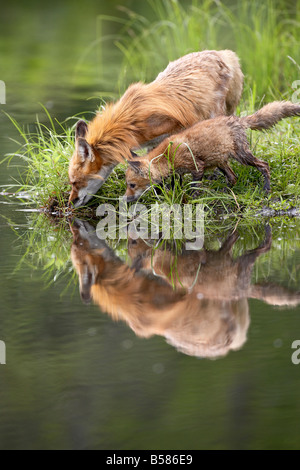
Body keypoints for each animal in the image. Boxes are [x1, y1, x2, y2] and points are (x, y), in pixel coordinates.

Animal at [68, 49, 244, 207]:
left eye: (75, 182)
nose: (70, 203)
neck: (131, 124)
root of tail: (221, 53)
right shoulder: (152, 145)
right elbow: (153, 168)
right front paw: (160, 192)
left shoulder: (178, 133)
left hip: (216, 113)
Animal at [123, 101, 300, 200]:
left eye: (132, 185)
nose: (125, 199)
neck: (167, 156)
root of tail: (236, 120)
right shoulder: (177, 173)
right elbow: (174, 185)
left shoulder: (197, 166)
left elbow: (194, 186)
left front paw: (192, 199)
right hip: (220, 161)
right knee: (233, 178)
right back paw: (226, 192)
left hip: (242, 155)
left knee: (264, 165)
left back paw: (266, 189)